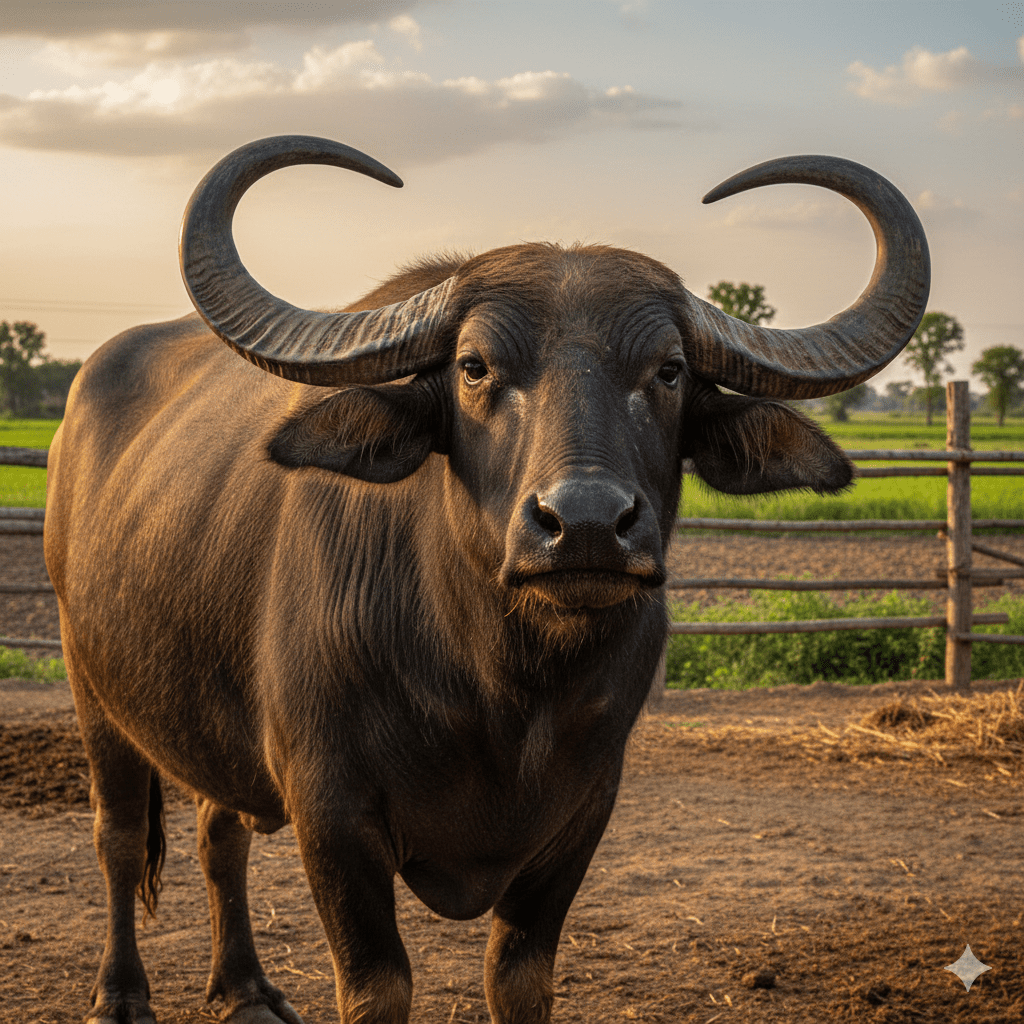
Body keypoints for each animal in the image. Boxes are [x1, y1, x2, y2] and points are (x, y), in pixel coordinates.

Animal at [44, 136, 929, 1024]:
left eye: (671, 369)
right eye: (474, 366)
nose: (585, 524)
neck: (498, 685)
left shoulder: (581, 814)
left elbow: (519, 980)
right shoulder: (330, 813)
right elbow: (377, 988)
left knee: (218, 831)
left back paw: (246, 989)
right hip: (90, 682)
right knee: (118, 839)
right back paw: (121, 992)